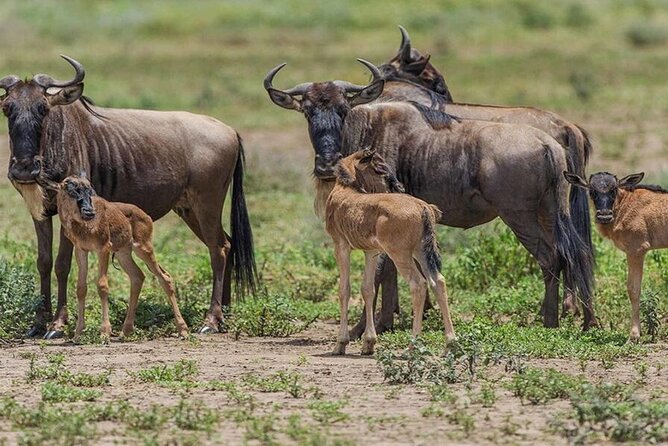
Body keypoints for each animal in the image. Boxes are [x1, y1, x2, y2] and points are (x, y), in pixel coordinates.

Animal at [55, 174, 188, 342]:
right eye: (71, 190)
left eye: (89, 190)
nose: (89, 212)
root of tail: (146, 216)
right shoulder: (81, 250)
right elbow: (81, 288)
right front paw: (78, 334)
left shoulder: (103, 249)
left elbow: (102, 285)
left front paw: (104, 333)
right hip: (122, 254)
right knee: (138, 276)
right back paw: (126, 330)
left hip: (143, 249)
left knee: (165, 277)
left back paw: (183, 330)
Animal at [326, 150, 455, 355]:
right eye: (379, 168)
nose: (399, 186)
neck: (345, 189)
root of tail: (423, 208)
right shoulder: (371, 252)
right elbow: (368, 289)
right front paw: (368, 343)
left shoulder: (341, 246)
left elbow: (344, 289)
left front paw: (341, 343)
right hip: (420, 252)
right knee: (438, 281)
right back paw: (451, 344)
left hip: (400, 255)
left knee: (418, 284)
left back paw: (413, 344)